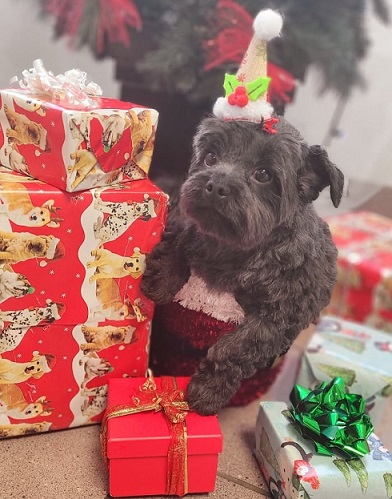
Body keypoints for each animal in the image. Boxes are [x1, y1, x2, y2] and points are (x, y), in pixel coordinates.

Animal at [141, 115, 344, 416]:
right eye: (210, 157)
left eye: (263, 174)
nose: (215, 185)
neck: (234, 249)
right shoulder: (183, 214)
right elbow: (181, 231)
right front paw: (162, 278)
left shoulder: (280, 317)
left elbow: (235, 348)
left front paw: (207, 391)